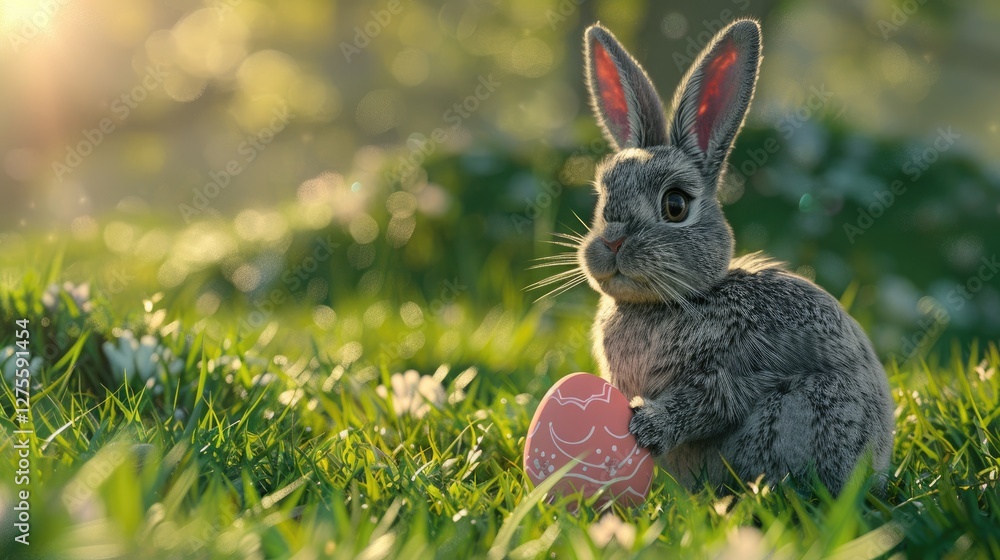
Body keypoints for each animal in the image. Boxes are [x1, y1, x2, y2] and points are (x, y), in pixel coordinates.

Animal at [569, 19, 895, 496]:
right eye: (601, 197)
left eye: (675, 205)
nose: (610, 243)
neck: (675, 302)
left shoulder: (731, 370)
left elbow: (711, 404)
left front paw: (646, 427)